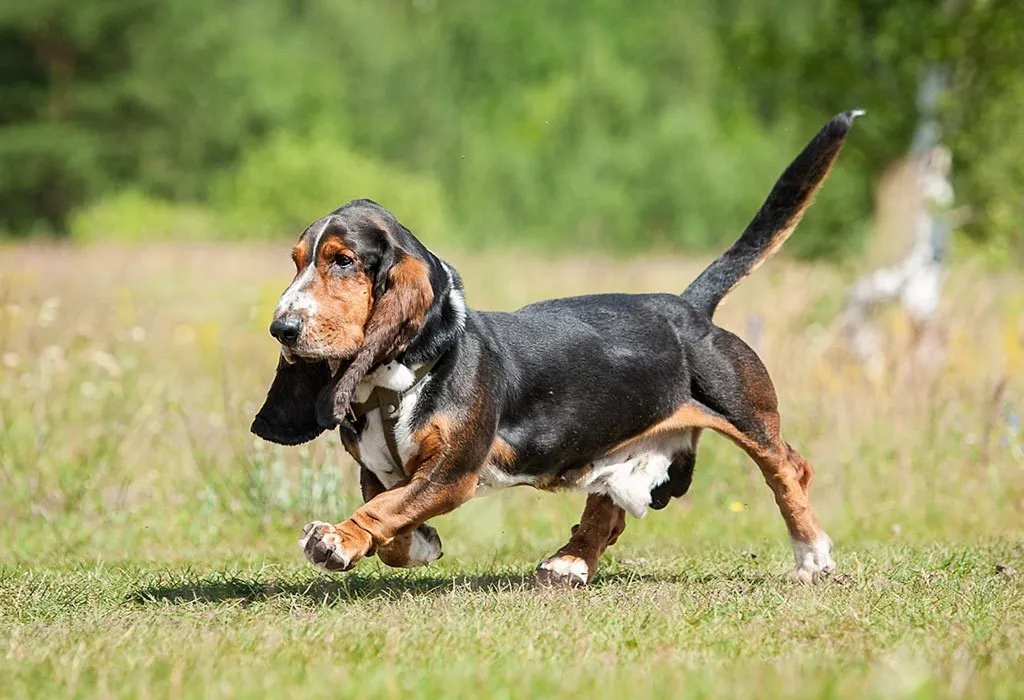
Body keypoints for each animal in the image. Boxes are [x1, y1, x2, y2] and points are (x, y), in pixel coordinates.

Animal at [251, 112, 860, 589]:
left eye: (342, 261)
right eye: (297, 261)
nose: (282, 328)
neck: (402, 380)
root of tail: (687, 307)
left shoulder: (451, 472)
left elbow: (384, 509)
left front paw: (336, 539)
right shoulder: (380, 472)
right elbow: (392, 522)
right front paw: (420, 544)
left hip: (746, 414)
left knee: (788, 469)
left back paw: (812, 556)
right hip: (621, 443)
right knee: (608, 508)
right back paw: (570, 562)